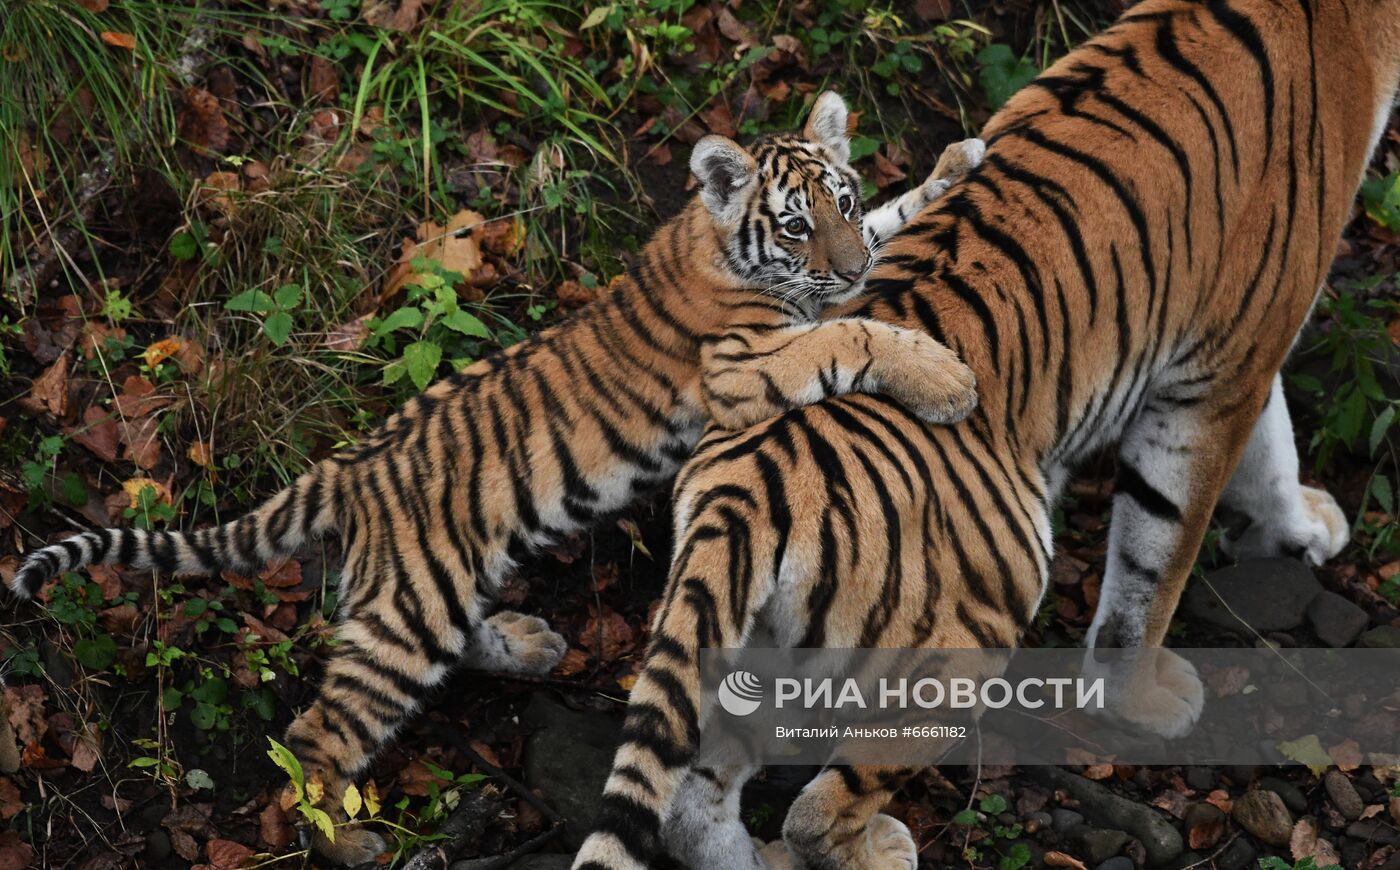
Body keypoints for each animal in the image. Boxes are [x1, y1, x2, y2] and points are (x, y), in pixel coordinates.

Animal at [5, 100, 985, 862]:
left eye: (841, 201)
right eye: (792, 224)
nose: (849, 269)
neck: (718, 237)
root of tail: (346, 471)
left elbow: (892, 227)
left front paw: (957, 162)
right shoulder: (741, 368)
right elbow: (848, 333)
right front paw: (944, 379)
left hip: (422, 594)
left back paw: (527, 644)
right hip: (408, 613)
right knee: (316, 734)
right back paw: (349, 841)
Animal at [574, 0, 1394, 862]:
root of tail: (743, 494)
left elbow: (1271, 452)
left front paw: (1305, 525)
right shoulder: (1225, 365)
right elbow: (1159, 560)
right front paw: (1142, 699)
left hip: (748, 652)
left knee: (693, 804)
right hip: (966, 638)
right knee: (816, 809)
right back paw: (880, 848)